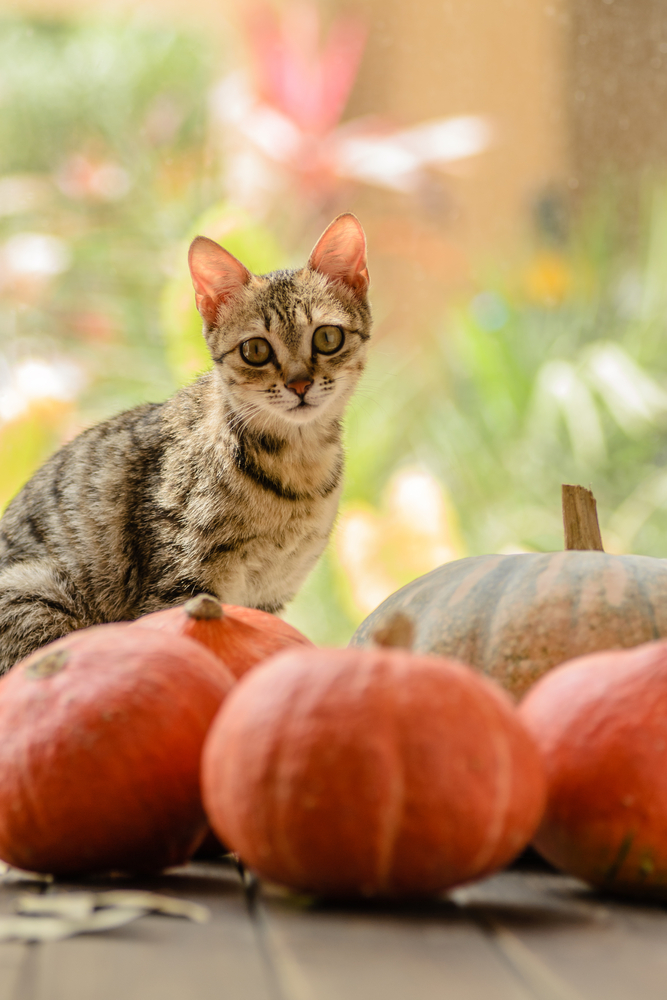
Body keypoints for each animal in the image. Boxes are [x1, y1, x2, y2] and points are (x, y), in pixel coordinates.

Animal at [0, 215, 374, 676]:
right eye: (255, 349)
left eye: (326, 338)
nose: (300, 384)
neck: (297, 470)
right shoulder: (181, 579)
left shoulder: (269, 595)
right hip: (36, 595)